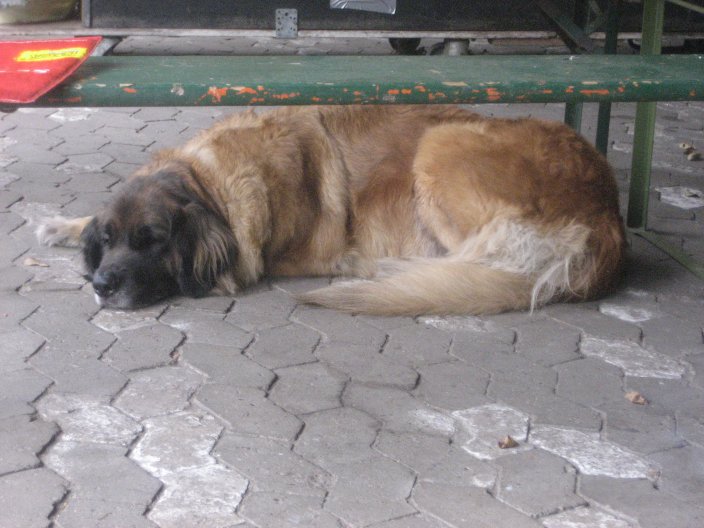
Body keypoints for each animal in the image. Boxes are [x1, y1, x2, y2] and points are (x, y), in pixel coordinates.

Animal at [36, 105, 626, 315]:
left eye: (152, 240)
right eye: (108, 240)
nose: (102, 284)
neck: (208, 185)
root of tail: (608, 212)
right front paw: (61, 226)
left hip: (439, 144)